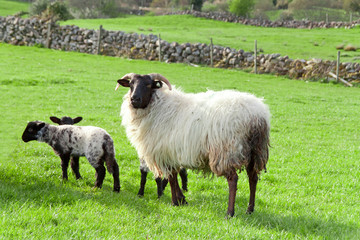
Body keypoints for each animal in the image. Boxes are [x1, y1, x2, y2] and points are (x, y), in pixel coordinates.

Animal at [115, 72, 270, 217]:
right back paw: (250, 210)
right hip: (255, 151)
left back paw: (229, 213)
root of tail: (256, 115)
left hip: (226, 151)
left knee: (233, 180)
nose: (134, 99)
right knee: (253, 178)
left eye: (148, 85)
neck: (157, 106)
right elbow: (175, 176)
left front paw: (175, 202)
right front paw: (182, 200)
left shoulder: (165, 152)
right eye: (131, 85)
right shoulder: (172, 153)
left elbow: (171, 178)